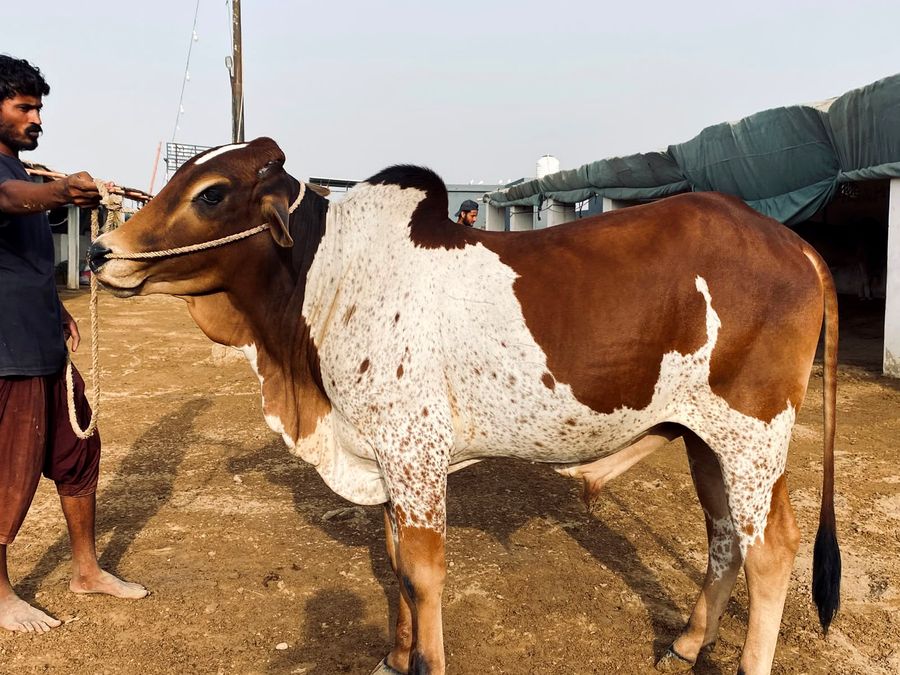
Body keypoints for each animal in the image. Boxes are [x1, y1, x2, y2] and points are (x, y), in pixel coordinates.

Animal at [89, 137, 840, 675]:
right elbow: (395, 564)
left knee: (771, 549)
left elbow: (423, 574)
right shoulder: (386, 456)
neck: (324, 278)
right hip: (704, 439)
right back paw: (687, 641)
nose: (100, 251)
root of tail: (795, 244)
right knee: (724, 538)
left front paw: (422, 660)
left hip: (752, 436)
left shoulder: (416, 452)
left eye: (212, 194)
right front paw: (394, 657)